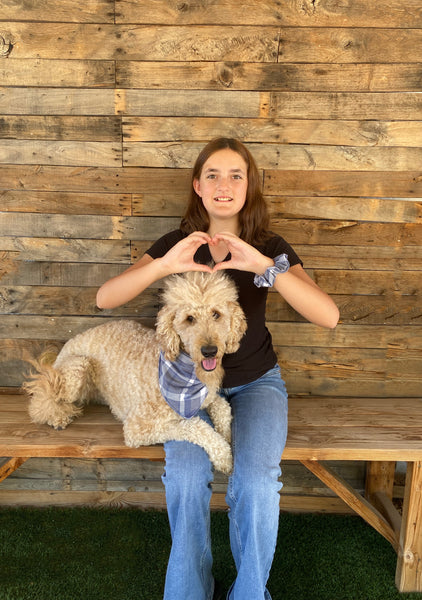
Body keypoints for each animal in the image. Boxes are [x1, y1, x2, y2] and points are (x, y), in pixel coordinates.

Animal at [23, 270, 247, 474]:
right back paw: (58, 416)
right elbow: (194, 426)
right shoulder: (138, 428)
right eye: (189, 318)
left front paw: (228, 437)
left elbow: (223, 408)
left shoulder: (209, 398)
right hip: (77, 366)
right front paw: (224, 455)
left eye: (216, 314)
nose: (209, 351)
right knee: (43, 398)